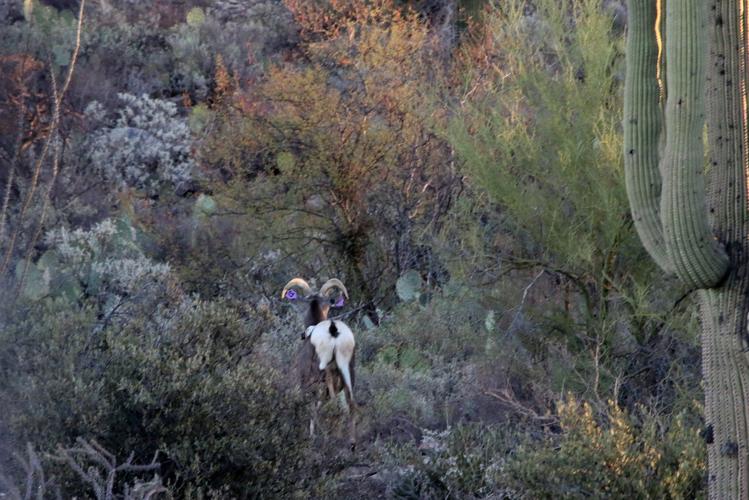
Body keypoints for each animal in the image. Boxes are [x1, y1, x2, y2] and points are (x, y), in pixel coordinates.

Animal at [281, 277, 358, 448]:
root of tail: (333, 331)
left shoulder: (305, 382)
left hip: (325, 373)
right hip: (346, 371)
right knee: (350, 404)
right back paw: (350, 442)